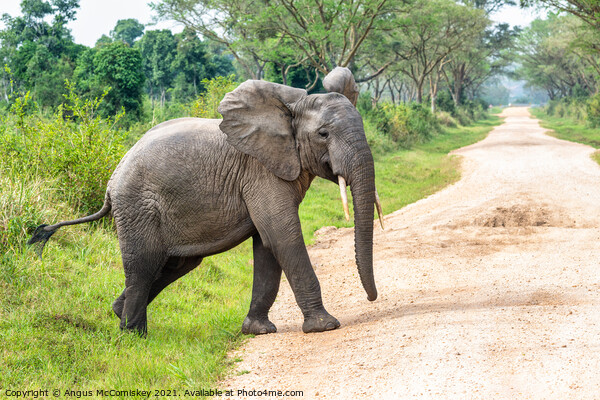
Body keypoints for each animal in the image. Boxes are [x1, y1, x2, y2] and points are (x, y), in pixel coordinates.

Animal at [28, 67, 382, 336]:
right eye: (323, 134)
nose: (372, 299)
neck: (290, 108)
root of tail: (110, 183)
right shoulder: (261, 172)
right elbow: (283, 236)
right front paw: (325, 327)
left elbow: (267, 244)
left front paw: (257, 331)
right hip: (136, 205)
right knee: (143, 264)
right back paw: (134, 337)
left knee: (175, 263)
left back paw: (119, 313)